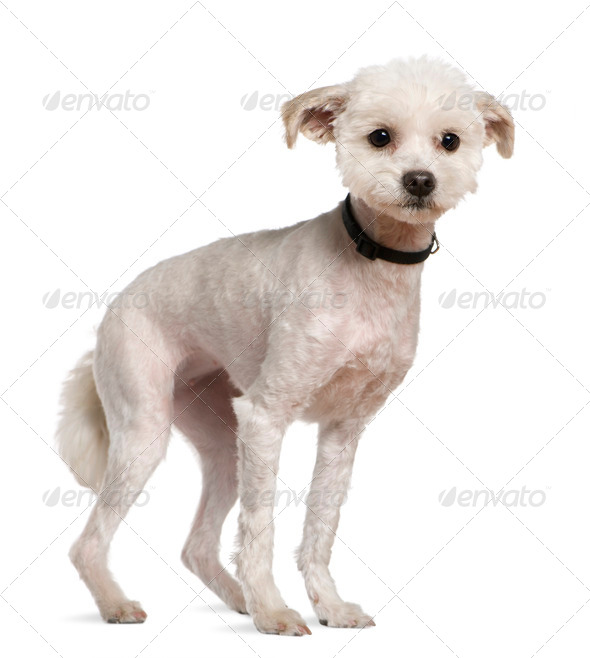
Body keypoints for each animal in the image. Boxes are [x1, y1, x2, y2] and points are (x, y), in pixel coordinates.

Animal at [57, 57, 516, 636]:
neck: (370, 260)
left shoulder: (343, 431)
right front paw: (275, 612)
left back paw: (238, 599)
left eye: (450, 141)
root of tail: (111, 310)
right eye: (380, 137)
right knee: (88, 543)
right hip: (144, 431)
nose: (419, 180)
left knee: (196, 546)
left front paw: (329, 607)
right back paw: (118, 604)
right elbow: (260, 527)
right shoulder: (265, 416)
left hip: (221, 445)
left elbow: (322, 525)